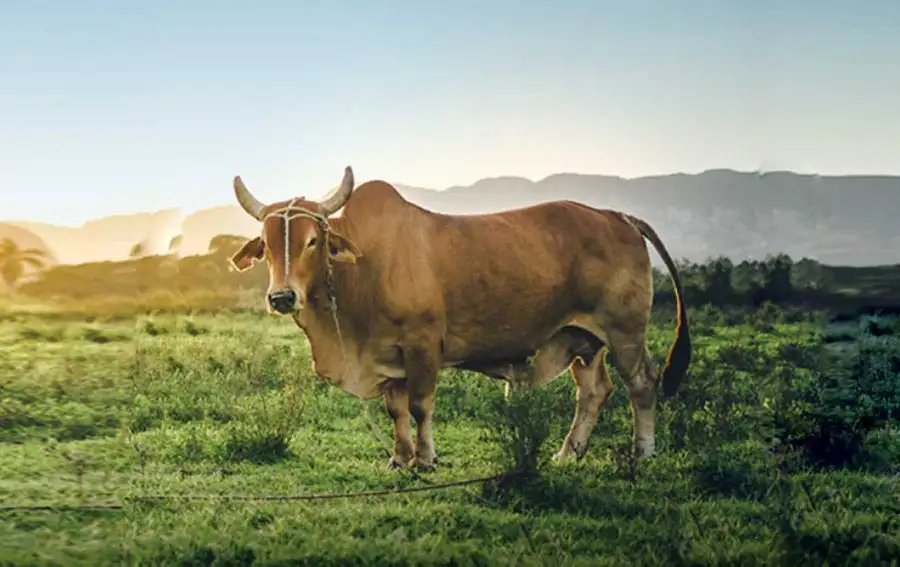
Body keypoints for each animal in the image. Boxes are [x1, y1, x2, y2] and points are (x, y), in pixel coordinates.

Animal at [228, 166, 691, 471]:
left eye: (312, 241)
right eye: (266, 246)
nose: (282, 296)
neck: (363, 270)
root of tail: (617, 216)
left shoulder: (423, 346)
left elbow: (420, 406)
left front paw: (426, 459)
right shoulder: (387, 355)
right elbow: (396, 411)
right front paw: (400, 459)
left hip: (624, 332)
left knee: (641, 384)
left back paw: (643, 452)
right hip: (581, 338)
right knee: (594, 392)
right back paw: (566, 453)